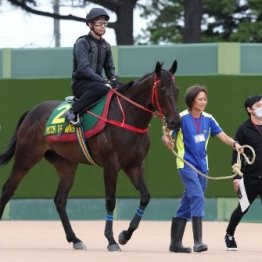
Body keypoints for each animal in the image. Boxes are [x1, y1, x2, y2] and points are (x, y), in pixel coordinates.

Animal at [0, 60, 180, 251]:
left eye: (176, 90)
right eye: (162, 90)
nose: (175, 122)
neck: (127, 116)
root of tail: (31, 112)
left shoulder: (134, 165)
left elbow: (145, 197)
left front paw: (125, 235)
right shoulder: (111, 165)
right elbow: (110, 201)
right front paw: (111, 240)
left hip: (66, 165)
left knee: (60, 200)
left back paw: (75, 239)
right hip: (26, 157)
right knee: (8, 189)